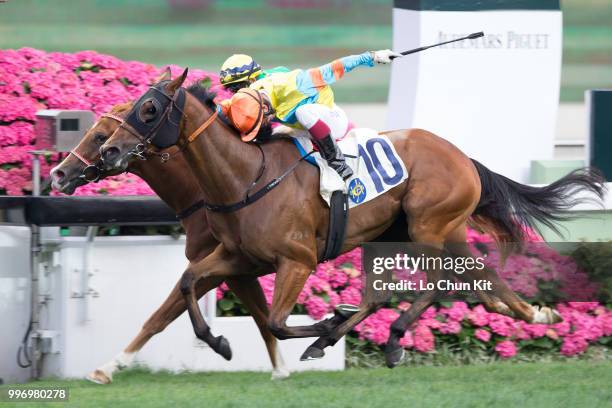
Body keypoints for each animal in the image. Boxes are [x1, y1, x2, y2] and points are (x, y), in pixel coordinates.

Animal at [49, 102, 290, 382]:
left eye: (100, 136)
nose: (58, 174)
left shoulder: (221, 268)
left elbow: (160, 316)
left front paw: (108, 368)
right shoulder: (238, 271)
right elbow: (263, 318)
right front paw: (281, 369)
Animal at [98, 69, 604, 366]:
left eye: (149, 108)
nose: (109, 151)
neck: (245, 177)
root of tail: (462, 156)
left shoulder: (297, 260)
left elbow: (277, 322)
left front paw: (322, 325)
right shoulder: (239, 257)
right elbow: (189, 283)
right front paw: (220, 342)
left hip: (427, 226)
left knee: (438, 282)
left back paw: (392, 337)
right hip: (403, 234)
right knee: (450, 279)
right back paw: (527, 311)